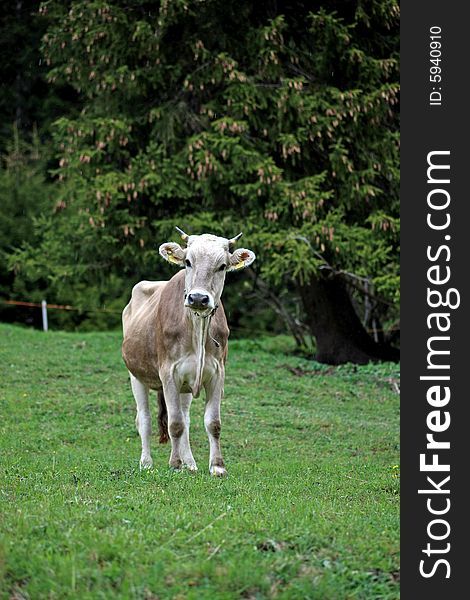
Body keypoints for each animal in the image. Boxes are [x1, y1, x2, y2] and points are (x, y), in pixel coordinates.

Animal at [119, 230, 255, 478]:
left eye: (222, 266)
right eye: (188, 262)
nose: (198, 298)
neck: (196, 326)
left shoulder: (217, 373)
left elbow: (212, 423)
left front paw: (217, 466)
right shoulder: (169, 374)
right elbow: (175, 424)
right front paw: (174, 464)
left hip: (185, 386)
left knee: (185, 418)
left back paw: (189, 462)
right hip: (136, 376)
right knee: (145, 419)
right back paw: (147, 463)